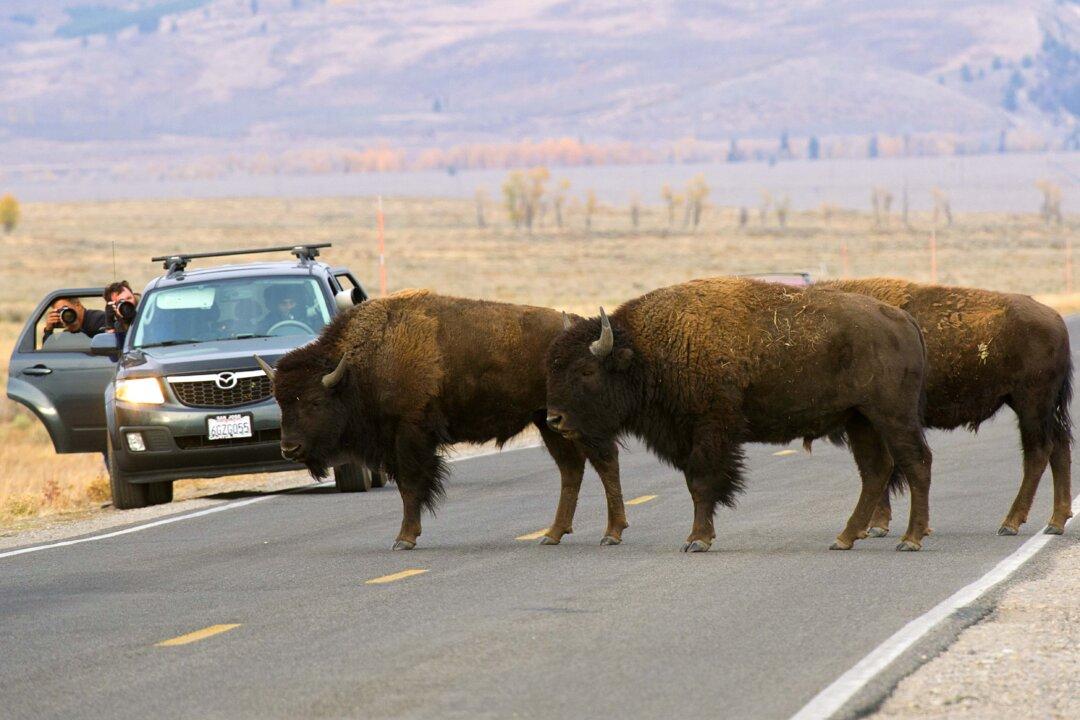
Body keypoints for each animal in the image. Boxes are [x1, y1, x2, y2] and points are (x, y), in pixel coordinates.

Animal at [255, 290, 626, 550]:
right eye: (281, 401)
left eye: (316, 401)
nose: (289, 448)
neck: (363, 363)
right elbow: (409, 487)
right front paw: (408, 535)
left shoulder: (409, 436)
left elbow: (410, 486)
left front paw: (404, 539)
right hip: (548, 422)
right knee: (571, 469)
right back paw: (553, 533)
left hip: (573, 422)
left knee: (604, 462)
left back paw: (611, 533)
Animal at [545, 277, 933, 552]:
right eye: (553, 367)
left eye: (587, 371)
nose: (554, 419)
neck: (646, 350)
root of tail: (905, 320)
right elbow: (695, 484)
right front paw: (700, 536)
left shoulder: (709, 430)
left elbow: (702, 482)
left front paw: (697, 540)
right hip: (859, 420)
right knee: (875, 471)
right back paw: (845, 538)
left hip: (892, 415)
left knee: (916, 462)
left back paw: (910, 540)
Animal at [820, 278, 1072, 535]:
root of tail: (1055, 318)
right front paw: (878, 525)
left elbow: (881, 470)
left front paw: (877, 526)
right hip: (1041, 407)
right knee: (1060, 447)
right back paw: (1055, 522)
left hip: (1031, 405)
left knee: (1038, 452)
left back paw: (1010, 524)